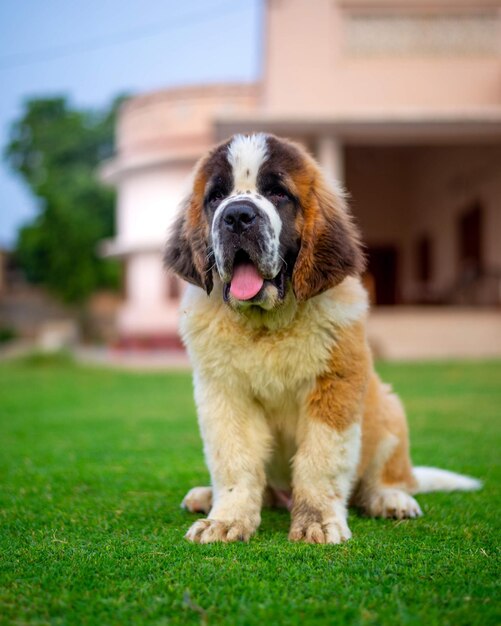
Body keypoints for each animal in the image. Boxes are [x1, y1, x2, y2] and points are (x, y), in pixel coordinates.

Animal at [165, 134, 480, 544]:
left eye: (278, 193)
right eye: (216, 197)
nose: (237, 216)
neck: (268, 325)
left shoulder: (334, 387)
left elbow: (320, 459)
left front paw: (317, 520)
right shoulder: (224, 395)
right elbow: (234, 460)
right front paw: (227, 518)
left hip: (388, 410)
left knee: (381, 478)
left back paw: (389, 498)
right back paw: (208, 496)